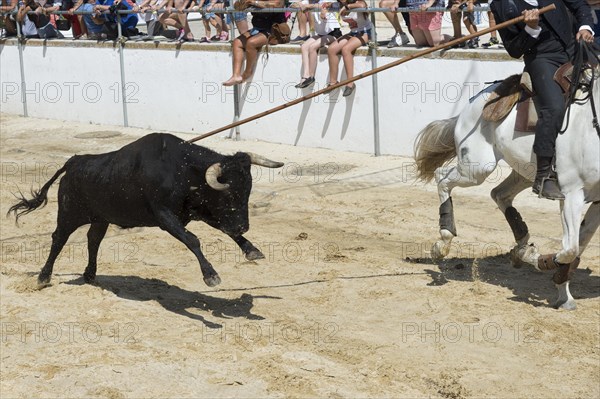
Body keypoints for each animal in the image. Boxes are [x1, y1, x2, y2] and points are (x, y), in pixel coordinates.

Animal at [7, 134, 284, 288]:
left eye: (248, 189)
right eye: (227, 193)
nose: (243, 225)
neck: (182, 170)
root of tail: (75, 161)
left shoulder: (197, 211)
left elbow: (223, 231)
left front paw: (251, 249)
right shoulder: (164, 216)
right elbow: (193, 240)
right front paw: (211, 276)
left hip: (101, 218)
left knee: (93, 239)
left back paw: (90, 275)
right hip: (69, 213)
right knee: (58, 239)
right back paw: (43, 278)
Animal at [414, 65, 596, 310]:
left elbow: (577, 247)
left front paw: (563, 294)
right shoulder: (571, 194)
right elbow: (570, 249)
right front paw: (543, 263)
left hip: (524, 172)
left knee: (499, 194)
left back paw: (522, 247)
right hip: (477, 168)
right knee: (442, 177)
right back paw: (443, 241)